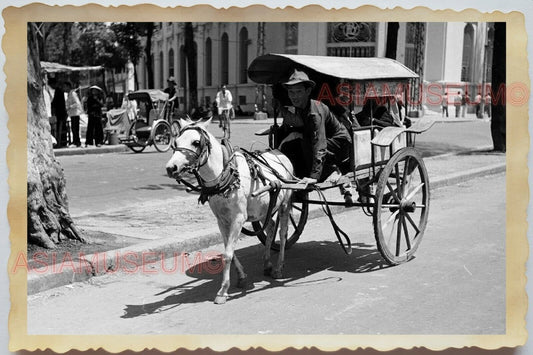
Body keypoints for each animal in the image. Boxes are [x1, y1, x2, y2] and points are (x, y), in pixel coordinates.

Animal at [164, 119, 294, 304]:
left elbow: (227, 254)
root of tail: (279, 153)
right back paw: (267, 263)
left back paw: (278, 268)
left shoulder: (238, 219)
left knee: (283, 234)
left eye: (196, 142)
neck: (225, 177)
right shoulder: (222, 219)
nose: (171, 168)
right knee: (270, 228)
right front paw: (242, 277)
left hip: (285, 204)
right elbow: (228, 250)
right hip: (264, 208)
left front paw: (223, 291)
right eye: (175, 142)